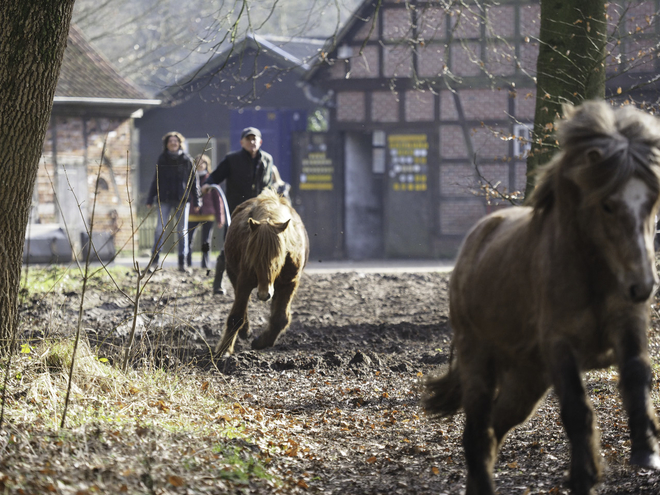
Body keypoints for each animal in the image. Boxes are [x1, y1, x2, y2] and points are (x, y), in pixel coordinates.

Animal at [215, 190, 310, 356]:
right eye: (254, 259)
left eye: (278, 260)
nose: (264, 294)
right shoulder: (244, 281)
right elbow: (236, 317)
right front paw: (224, 350)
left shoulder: (289, 283)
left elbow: (280, 318)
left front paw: (262, 342)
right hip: (234, 275)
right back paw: (244, 331)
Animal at [426, 101, 660, 495]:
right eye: (607, 205)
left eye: (652, 202)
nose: (642, 286)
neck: (591, 270)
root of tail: (476, 238)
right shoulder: (560, 345)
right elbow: (577, 407)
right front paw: (584, 474)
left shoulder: (627, 325)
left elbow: (637, 373)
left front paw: (646, 449)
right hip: (479, 361)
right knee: (477, 431)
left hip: (527, 378)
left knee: (494, 428)